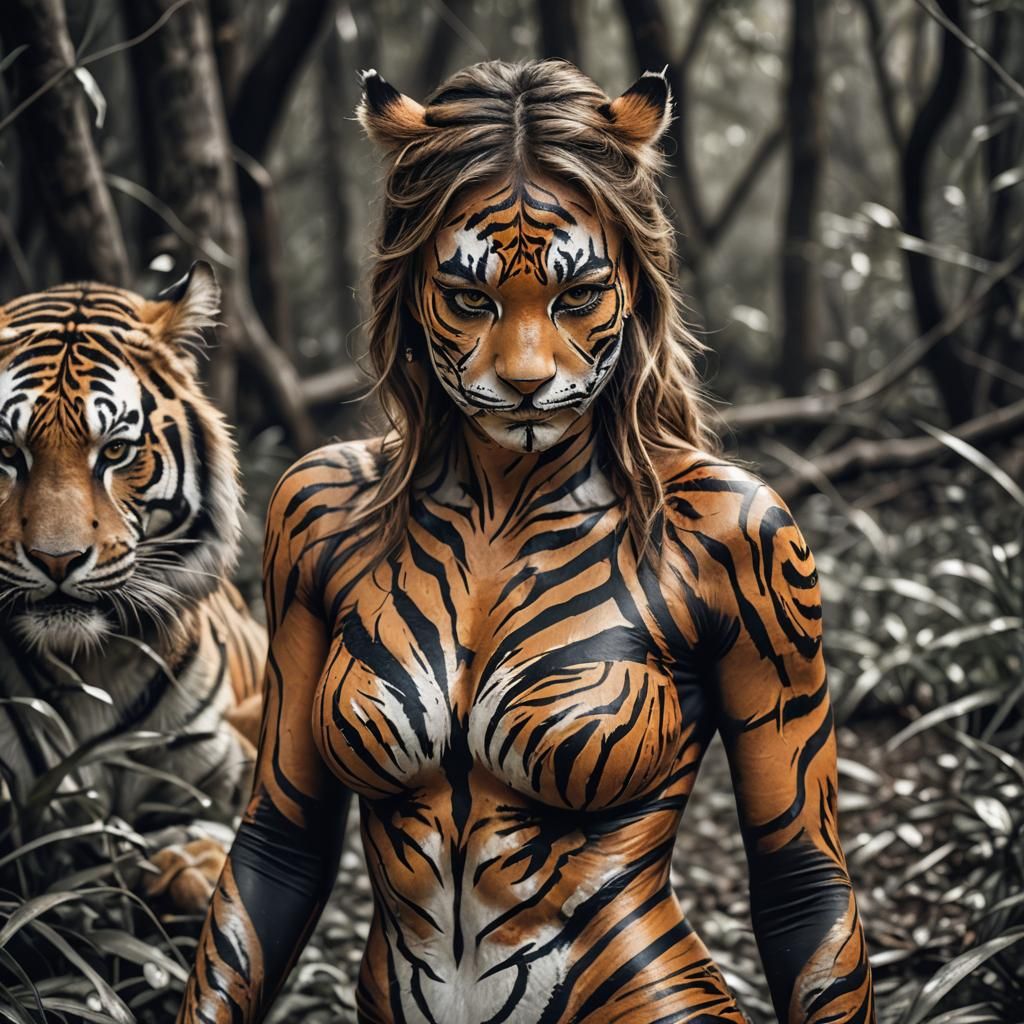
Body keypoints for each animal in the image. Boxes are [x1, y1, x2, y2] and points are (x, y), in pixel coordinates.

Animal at [0, 262, 265, 910]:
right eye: (6, 451)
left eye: (115, 450)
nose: (57, 559)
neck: (93, 665)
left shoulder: (228, 772)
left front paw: (187, 865)